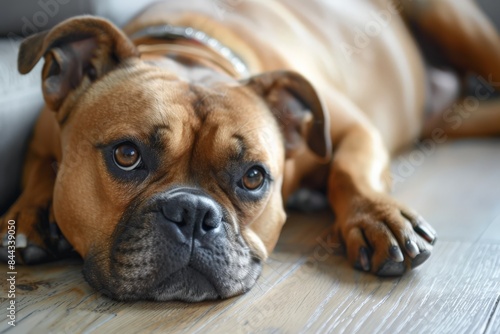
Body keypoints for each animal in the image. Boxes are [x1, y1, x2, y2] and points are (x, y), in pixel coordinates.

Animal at [2, 0, 500, 302]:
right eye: (127, 155)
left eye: (254, 177)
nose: (193, 213)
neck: (191, 53)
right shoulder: (41, 137)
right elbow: (40, 171)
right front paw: (25, 217)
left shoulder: (356, 128)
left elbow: (350, 169)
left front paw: (379, 218)